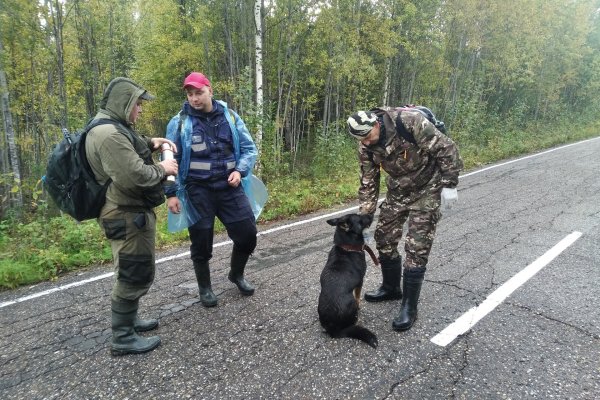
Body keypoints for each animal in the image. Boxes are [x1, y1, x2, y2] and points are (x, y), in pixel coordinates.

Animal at [316, 212, 378, 346]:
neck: (347, 247)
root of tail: (333, 329)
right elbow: (358, 296)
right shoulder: (360, 281)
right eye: (360, 218)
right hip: (351, 304)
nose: (372, 213)